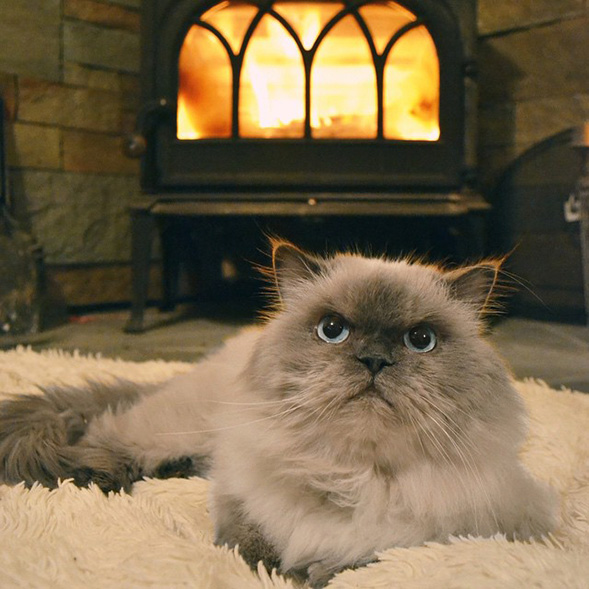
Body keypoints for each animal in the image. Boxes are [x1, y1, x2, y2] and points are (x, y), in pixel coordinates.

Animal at [1, 241, 556, 584]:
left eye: (421, 340)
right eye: (333, 330)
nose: (374, 360)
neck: (352, 475)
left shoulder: (474, 527)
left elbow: (373, 555)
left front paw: (316, 572)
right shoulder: (239, 495)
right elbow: (250, 541)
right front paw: (277, 573)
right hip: (177, 428)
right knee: (107, 434)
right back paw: (99, 477)